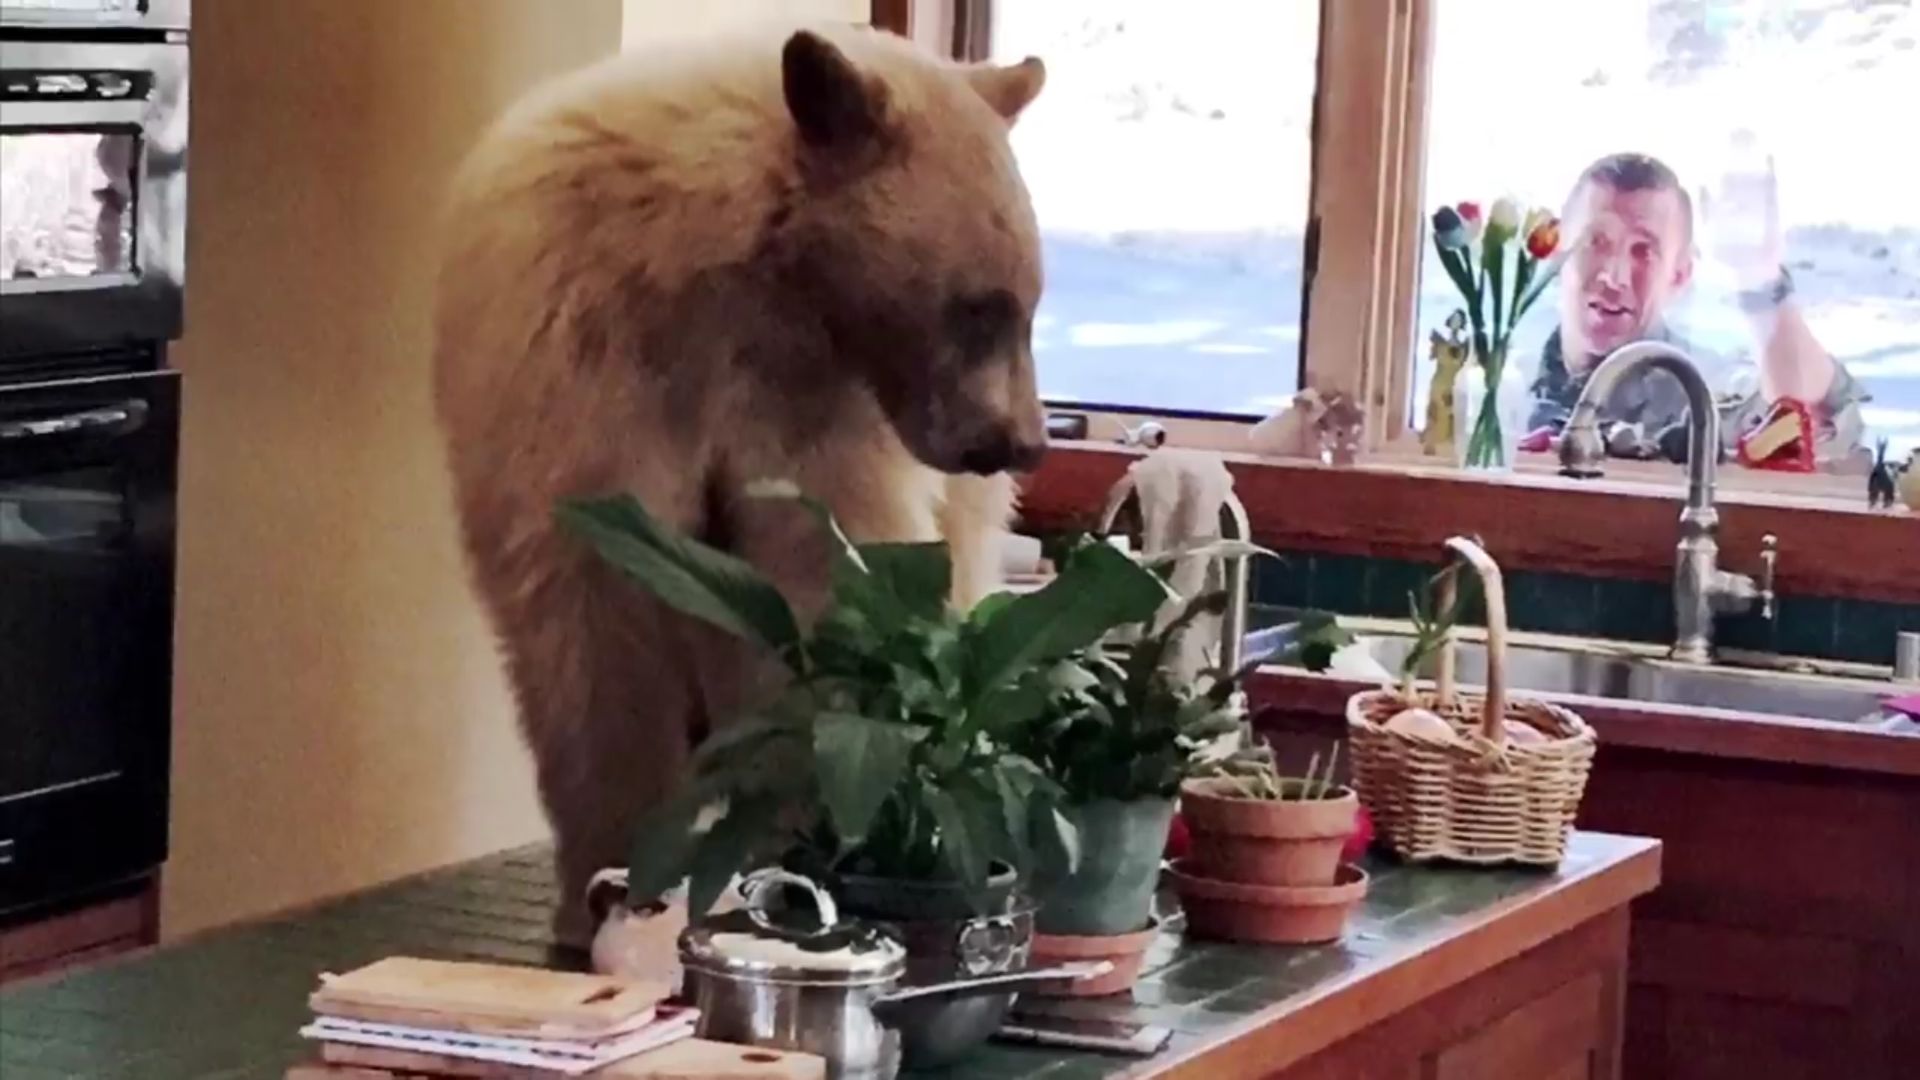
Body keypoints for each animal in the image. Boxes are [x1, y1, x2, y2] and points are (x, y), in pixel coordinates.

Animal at [428, 16, 1052, 941]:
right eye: (980, 306)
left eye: (1029, 301)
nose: (1019, 442)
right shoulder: (585, 366)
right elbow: (593, 619)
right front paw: (610, 871)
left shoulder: (815, 413)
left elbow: (820, 578)